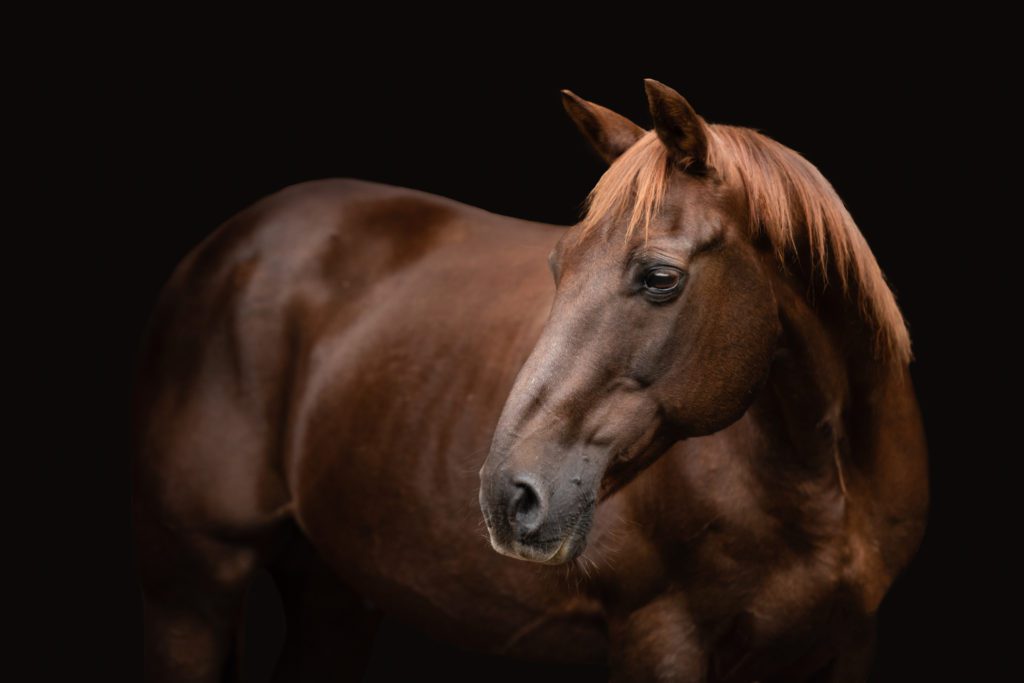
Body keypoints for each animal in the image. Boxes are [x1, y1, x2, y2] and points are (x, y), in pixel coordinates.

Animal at [131, 78, 928, 682]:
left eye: (660, 277)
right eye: (558, 263)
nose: (506, 496)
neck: (818, 482)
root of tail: (226, 249)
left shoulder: (847, 645)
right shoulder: (660, 637)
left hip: (334, 589)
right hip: (190, 595)